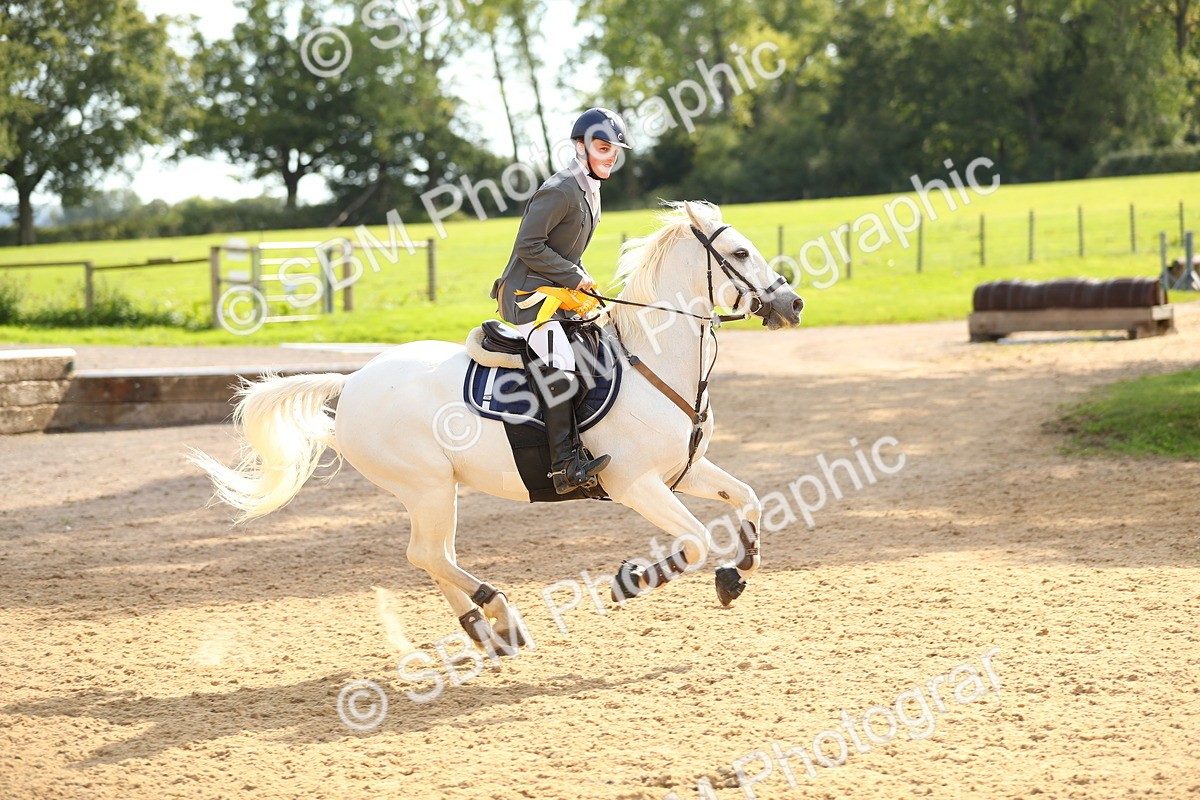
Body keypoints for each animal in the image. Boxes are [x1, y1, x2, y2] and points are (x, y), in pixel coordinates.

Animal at [189, 200, 803, 653]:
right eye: (740, 251)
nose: (793, 303)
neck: (653, 360)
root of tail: (353, 381)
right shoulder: (635, 483)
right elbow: (696, 541)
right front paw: (644, 579)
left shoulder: (684, 470)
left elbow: (746, 499)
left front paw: (734, 569)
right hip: (427, 486)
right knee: (427, 554)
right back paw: (499, 612)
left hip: (436, 491)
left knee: (432, 555)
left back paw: (486, 629)